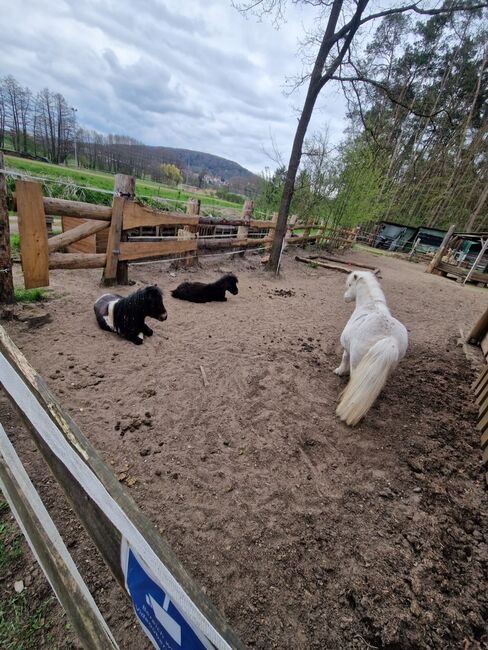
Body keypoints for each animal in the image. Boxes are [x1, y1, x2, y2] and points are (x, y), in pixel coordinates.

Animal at [336, 270, 408, 426]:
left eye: (349, 284)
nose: (345, 298)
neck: (370, 306)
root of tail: (390, 339)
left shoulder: (347, 346)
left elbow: (344, 357)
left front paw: (339, 371)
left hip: (357, 361)